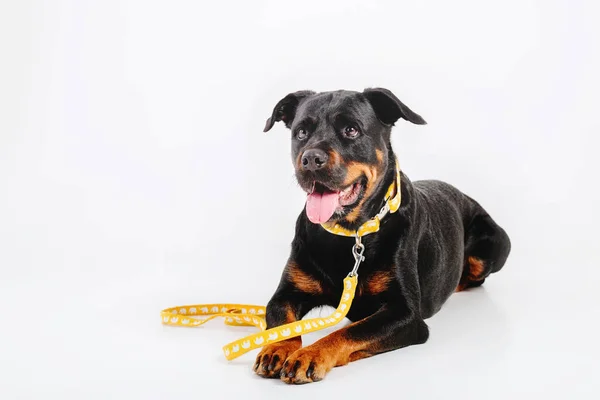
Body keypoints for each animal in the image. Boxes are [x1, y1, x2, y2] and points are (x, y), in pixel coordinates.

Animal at [254, 88, 510, 384]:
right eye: (301, 132)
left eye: (351, 130)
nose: (310, 159)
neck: (350, 234)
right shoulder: (286, 293)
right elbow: (282, 322)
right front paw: (276, 348)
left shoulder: (405, 315)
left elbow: (348, 332)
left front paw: (310, 354)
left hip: (495, 243)